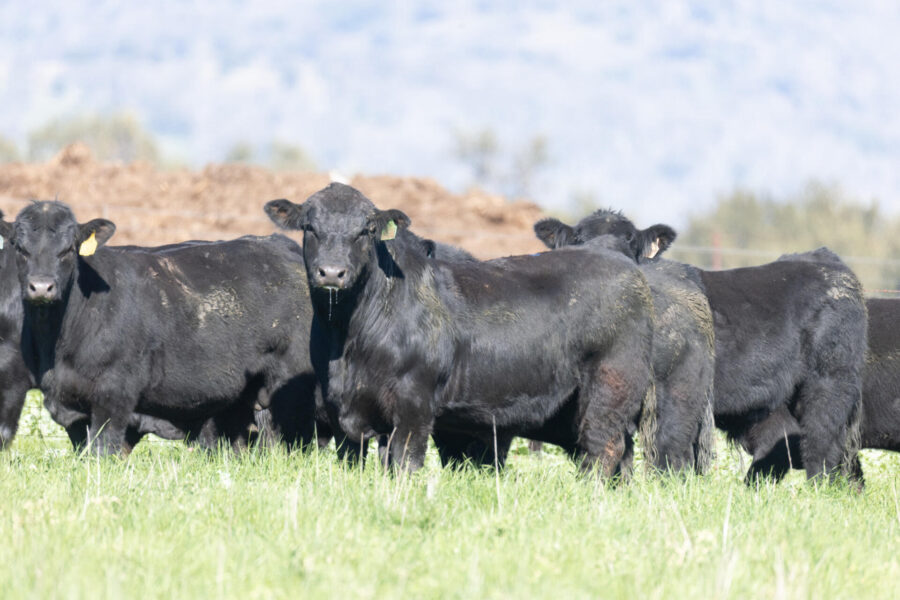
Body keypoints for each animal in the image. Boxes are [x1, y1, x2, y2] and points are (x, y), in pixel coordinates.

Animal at [0, 200, 321, 456]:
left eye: (68, 250)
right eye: (20, 248)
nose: (42, 287)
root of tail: (277, 242)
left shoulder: (113, 393)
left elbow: (103, 448)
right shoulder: (71, 404)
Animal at [265, 183, 656, 479]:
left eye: (367, 230)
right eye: (309, 227)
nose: (332, 272)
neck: (349, 340)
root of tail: (625, 266)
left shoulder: (414, 405)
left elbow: (404, 463)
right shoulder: (341, 408)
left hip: (611, 387)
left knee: (603, 447)